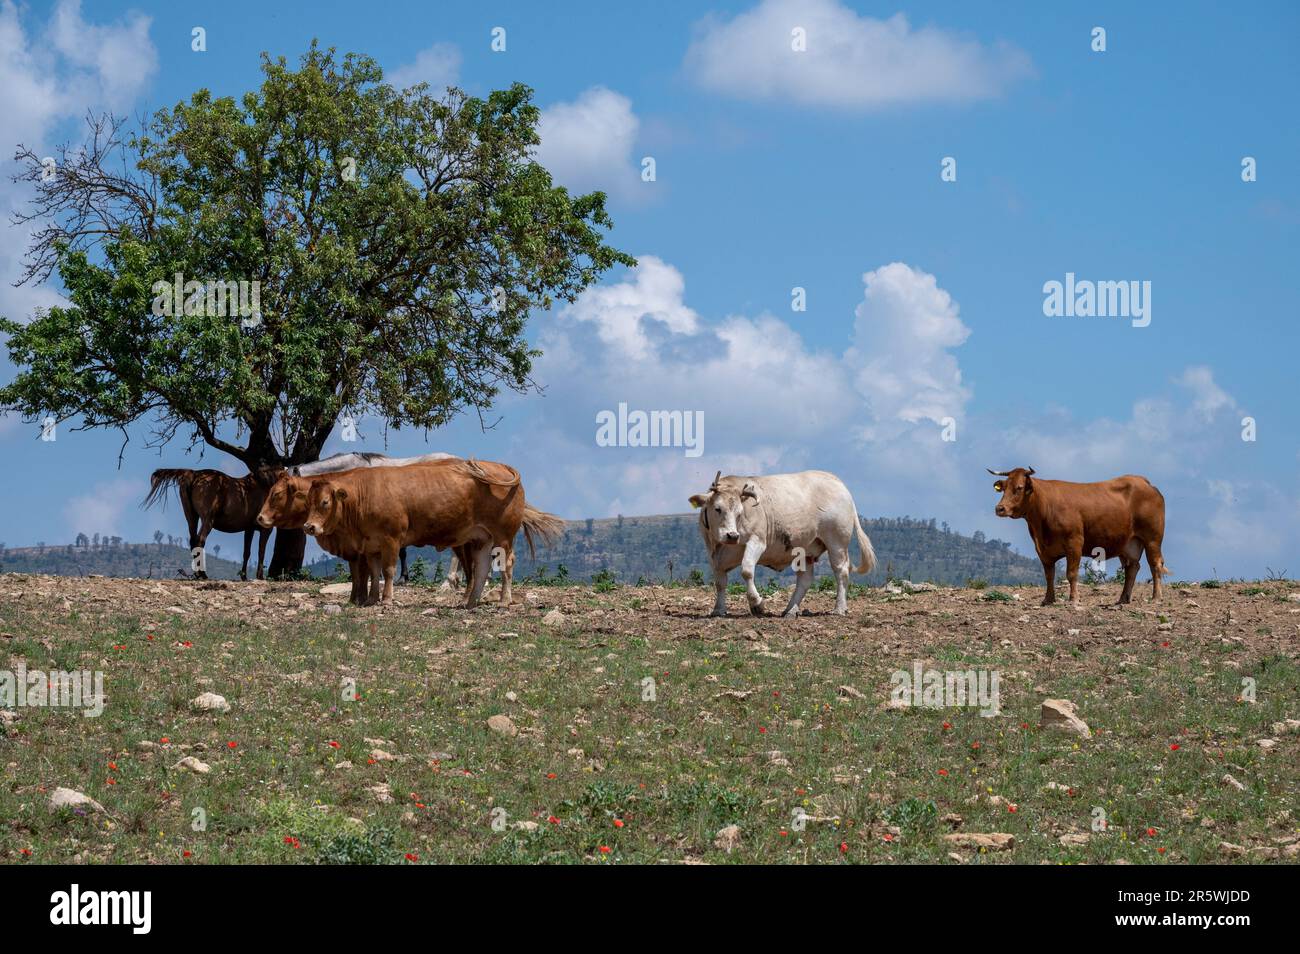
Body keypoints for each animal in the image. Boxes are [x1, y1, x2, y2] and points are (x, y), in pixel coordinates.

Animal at [686, 470, 878, 621]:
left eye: (739, 512)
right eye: (717, 508)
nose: (732, 536)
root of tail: (835, 480)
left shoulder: (757, 541)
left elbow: (747, 570)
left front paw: (757, 604)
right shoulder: (714, 554)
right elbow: (720, 582)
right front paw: (718, 610)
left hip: (836, 542)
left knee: (841, 572)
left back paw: (839, 608)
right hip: (806, 551)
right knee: (804, 580)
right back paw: (790, 610)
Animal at [982, 467, 1170, 608]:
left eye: (1019, 487)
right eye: (1004, 487)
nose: (1000, 508)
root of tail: (1144, 482)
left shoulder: (1074, 543)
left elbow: (1071, 573)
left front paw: (1073, 599)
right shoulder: (1043, 550)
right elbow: (1049, 575)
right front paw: (1048, 600)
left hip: (1152, 538)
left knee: (1155, 565)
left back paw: (1156, 597)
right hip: (1129, 543)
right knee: (1132, 568)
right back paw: (1123, 599)